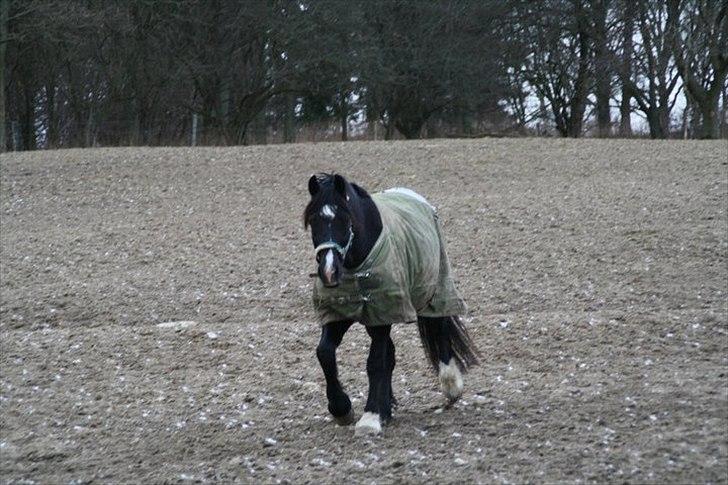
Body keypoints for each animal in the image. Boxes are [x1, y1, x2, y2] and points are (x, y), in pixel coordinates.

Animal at [302, 173, 478, 434]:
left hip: (434, 291)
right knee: (391, 354)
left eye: (345, 218)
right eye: (313, 220)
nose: (329, 272)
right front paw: (342, 409)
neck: (357, 265)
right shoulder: (340, 314)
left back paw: (451, 386)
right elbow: (325, 353)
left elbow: (376, 361)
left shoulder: (382, 316)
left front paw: (370, 417)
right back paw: (387, 407)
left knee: (440, 328)